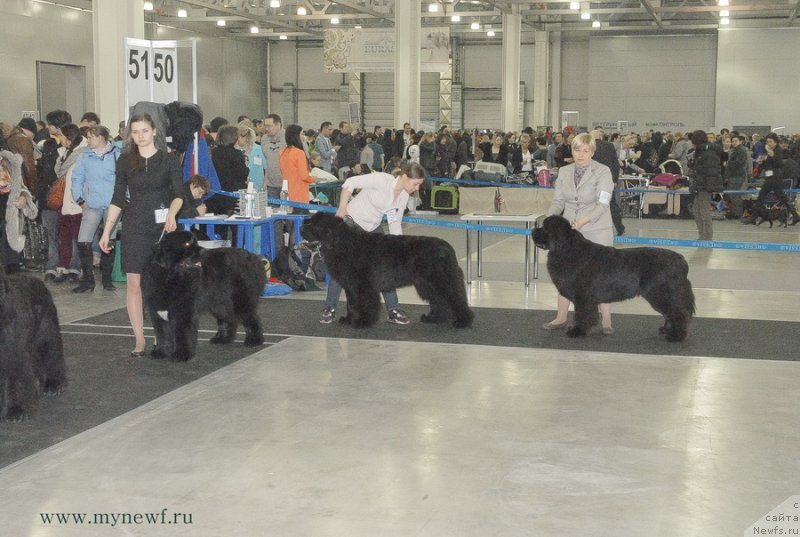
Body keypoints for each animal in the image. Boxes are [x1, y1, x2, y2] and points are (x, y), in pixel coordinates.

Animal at [0, 268, 66, 418]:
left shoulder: (13, 356)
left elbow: (13, 383)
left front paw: (16, 410)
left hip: (45, 335)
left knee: (52, 357)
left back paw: (53, 384)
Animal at [142, 230, 268, 360]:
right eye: (187, 244)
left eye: (196, 242)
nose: (203, 251)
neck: (169, 279)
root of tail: (253, 258)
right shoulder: (157, 311)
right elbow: (162, 334)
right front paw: (161, 352)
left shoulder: (183, 312)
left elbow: (182, 334)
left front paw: (181, 355)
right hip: (219, 302)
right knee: (229, 318)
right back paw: (223, 339)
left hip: (240, 300)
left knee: (251, 318)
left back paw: (254, 340)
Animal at [302, 211, 476, 328]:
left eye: (312, 224)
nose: (302, 226)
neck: (341, 242)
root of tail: (448, 248)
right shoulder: (351, 286)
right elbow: (351, 304)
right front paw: (349, 319)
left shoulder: (363, 286)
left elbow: (366, 303)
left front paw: (363, 321)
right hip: (426, 284)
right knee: (439, 300)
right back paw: (434, 318)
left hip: (440, 280)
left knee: (455, 298)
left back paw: (463, 321)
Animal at [532, 214, 692, 340]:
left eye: (545, 228)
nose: (533, 230)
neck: (568, 249)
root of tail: (681, 260)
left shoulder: (583, 297)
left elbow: (582, 315)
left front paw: (577, 331)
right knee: (671, 313)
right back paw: (666, 330)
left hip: (661, 293)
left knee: (678, 313)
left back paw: (676, 336)